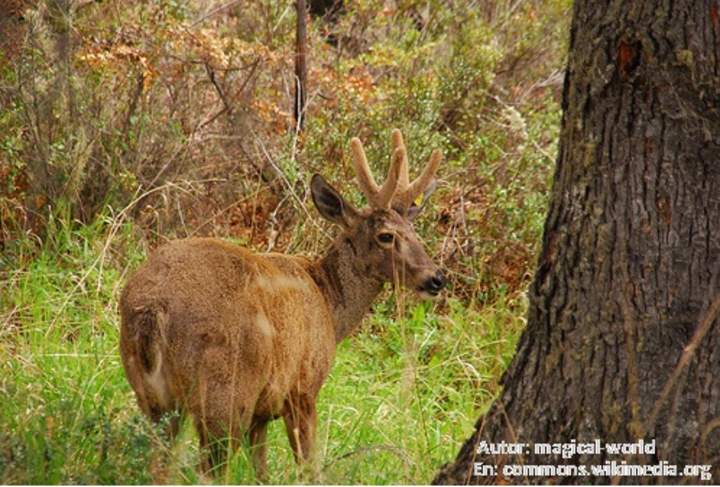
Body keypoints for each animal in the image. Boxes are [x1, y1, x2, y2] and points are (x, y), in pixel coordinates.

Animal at [118, 127, 444, 478]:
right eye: (386, 236)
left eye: (414, 231)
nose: (436, 278)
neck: (329, 304)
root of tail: (153, 309)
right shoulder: (303, 388)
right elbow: (309, 467)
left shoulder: (261, 413)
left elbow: (261, 471)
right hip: (224, 393)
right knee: (210, 470)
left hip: (151, 396)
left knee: (158, 463)